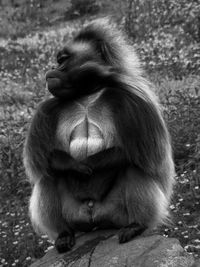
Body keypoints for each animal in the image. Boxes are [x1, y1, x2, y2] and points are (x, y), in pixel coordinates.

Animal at [23, 18, 174, 253]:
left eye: (63, 59)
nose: (51, 70)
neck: (87, 94)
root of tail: (94, 218)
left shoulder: (133, 102)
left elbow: (144, 154)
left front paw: (89, 164)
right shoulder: (45, 111)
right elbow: (41, 159)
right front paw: (77, 166)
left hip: (115, 213)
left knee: (133, 167)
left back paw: (135, 226)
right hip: (75, 215)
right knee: (49, 175)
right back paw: (64, 235)